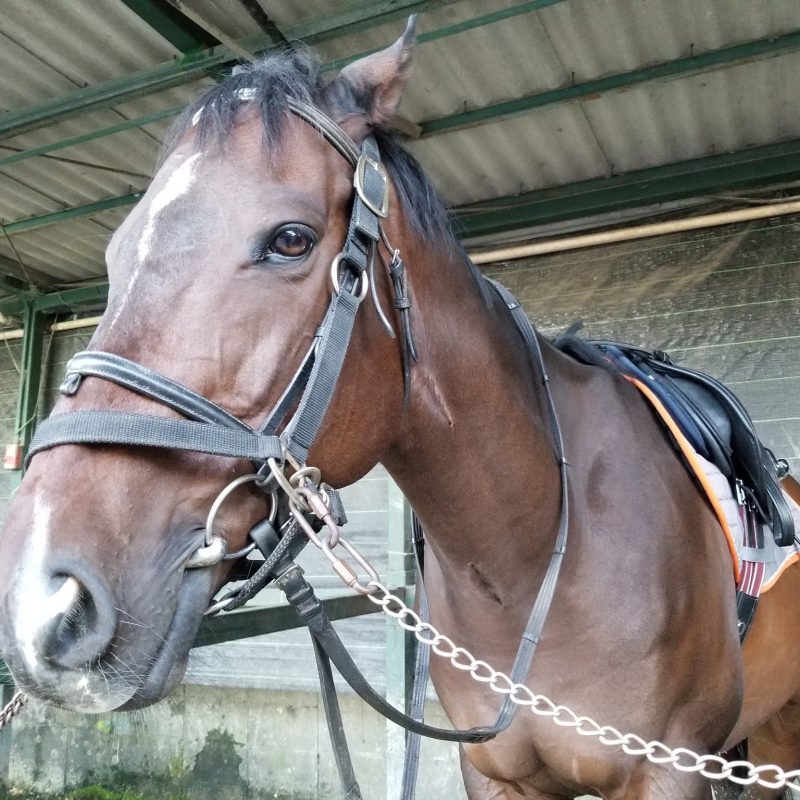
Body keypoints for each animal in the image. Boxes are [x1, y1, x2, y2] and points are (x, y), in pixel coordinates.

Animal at [1, 19, 799, 800]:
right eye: (115, 256)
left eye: (290, 239)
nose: (42, 601)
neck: (534, 548)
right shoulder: (497, 776)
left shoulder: (667, 769)